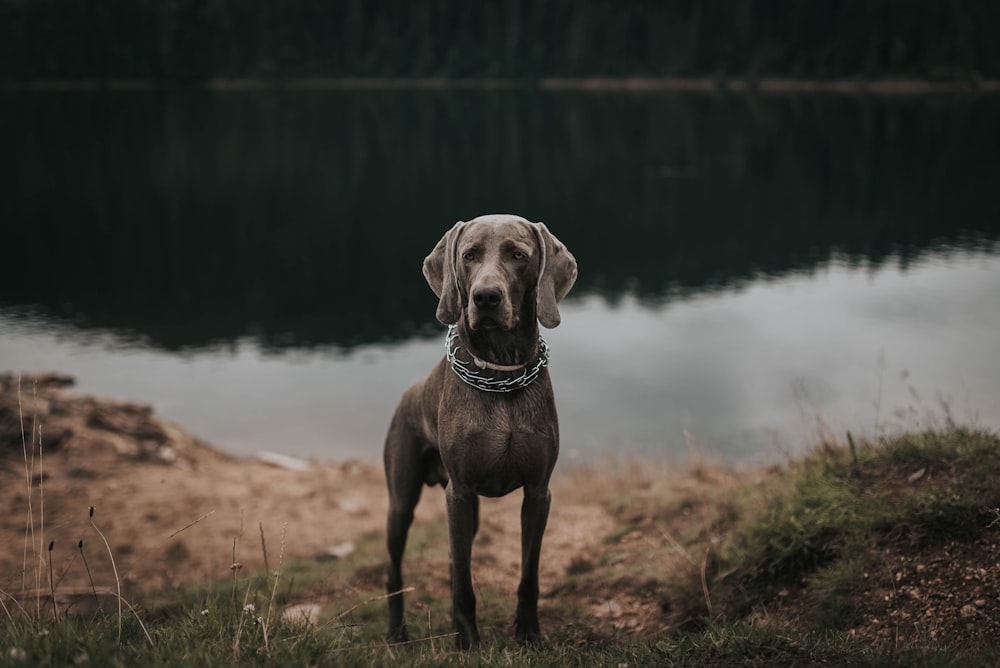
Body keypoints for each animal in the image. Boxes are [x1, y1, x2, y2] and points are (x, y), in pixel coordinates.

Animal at [386, 213, 584, 648]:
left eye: (518, 255)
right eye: (469, 255)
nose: (486, 298)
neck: (500, 373)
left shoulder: (538, 492)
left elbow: (528, 574)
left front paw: (528, 633)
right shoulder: (458, 494)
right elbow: (464, 583)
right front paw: (467, 643)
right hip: (401, 500)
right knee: (395, 568)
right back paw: (396, 633)